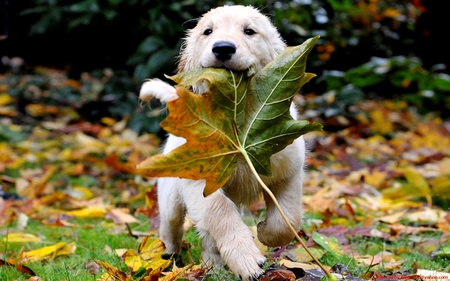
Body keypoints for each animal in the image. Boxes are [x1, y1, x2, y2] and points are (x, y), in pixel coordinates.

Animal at [138, 4, 306, 280]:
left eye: (249, 31)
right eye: (208, 31)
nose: (223, 48)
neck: (237, 118)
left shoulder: (288, 170)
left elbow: (288, 218)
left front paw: (265, 233)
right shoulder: (201, 183)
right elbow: (220, 213)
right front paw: (246, 258)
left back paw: (212, 265)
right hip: (170, 196)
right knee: (172, 228)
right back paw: (169, 258)